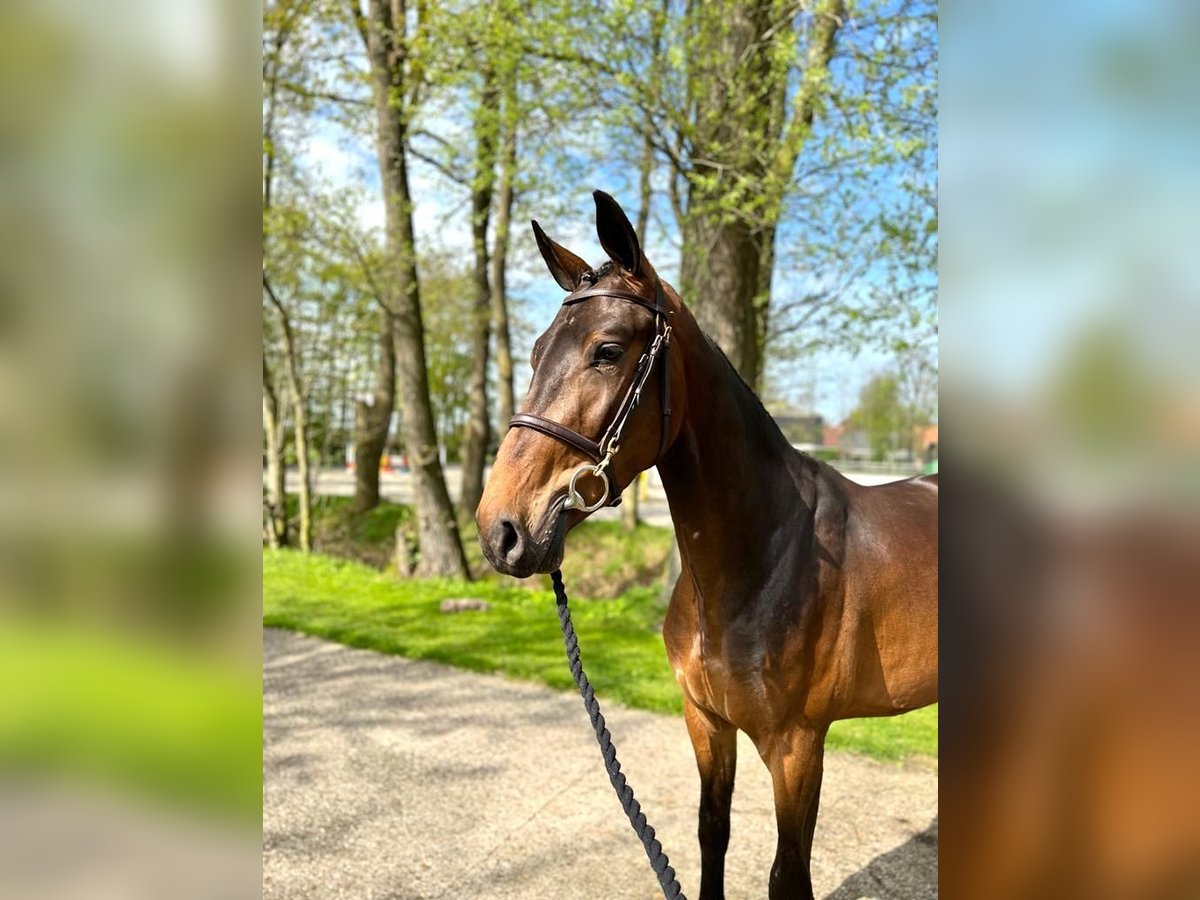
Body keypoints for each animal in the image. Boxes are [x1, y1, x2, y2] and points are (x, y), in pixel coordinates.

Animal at [475, 192, 936, 900]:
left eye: (608, 350)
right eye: (534, 352)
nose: (501, 529)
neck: (759, 561)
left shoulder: (797, 745)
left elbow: (787, 873)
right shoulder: (706, 721)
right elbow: (711, 834)